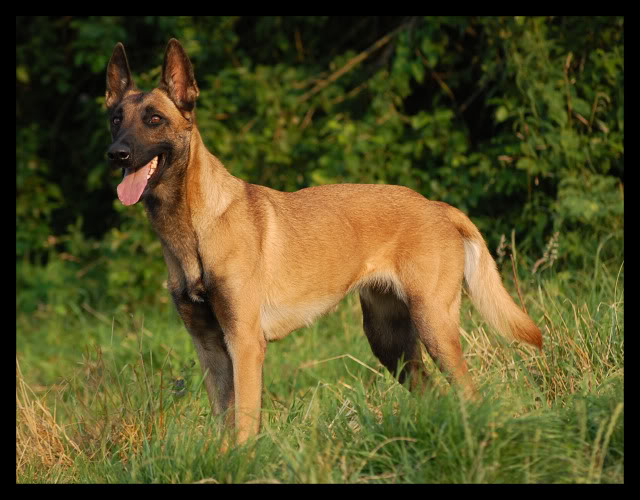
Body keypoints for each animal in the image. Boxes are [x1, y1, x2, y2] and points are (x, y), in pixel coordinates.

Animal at [105, 39, 540, 446]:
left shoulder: (244, 343)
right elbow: (224, 423)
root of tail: (437, 206)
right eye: (115, 120)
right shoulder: (210, 347)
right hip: (390, 341)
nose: (116, 154)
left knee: (468, 393)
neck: (195, 228)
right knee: (434, 393)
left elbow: (243, 423)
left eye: (154, 119)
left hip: (435, 325)